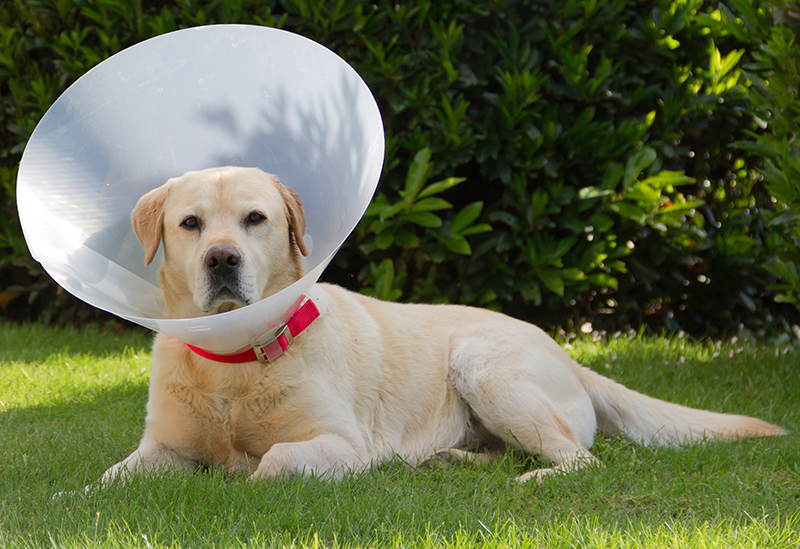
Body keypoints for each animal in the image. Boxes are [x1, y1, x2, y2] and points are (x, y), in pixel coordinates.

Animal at [98, 165, 780, 482]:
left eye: (255, 219)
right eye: (191, 223)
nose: (222, 258)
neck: (235, 361)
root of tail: (569, 357)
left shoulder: (343, 445)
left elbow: (271, 464)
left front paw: (243, 472)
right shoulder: (158, 450)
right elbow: (107, 480)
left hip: (485, 367)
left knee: (579, 460)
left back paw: (531, 478)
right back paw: (455, 459)